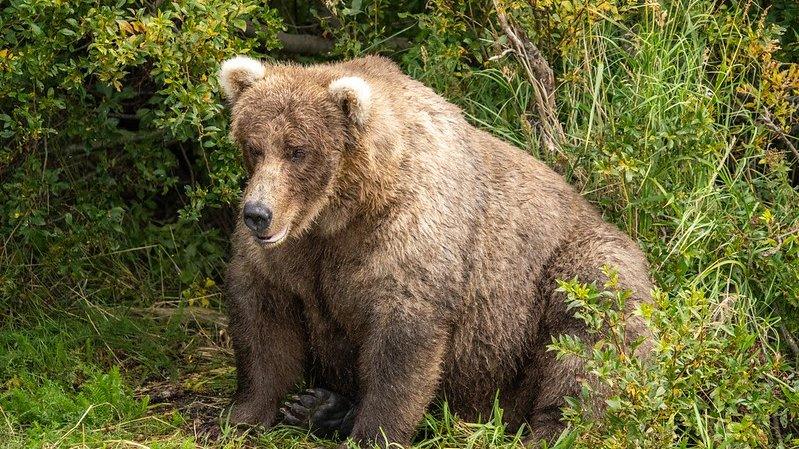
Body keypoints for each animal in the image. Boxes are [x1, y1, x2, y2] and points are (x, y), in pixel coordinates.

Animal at [217, 54, 648, 446]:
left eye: (298, 150)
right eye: (254, 146)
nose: (257, 214)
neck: (342, 213)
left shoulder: (409, 238)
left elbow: (402, 342)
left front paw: (374, 433)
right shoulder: (292, 256)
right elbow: (262, 320)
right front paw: (244, 415)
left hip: (566, 276)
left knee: (588, 341)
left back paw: (552, 430)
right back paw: (321, 407)